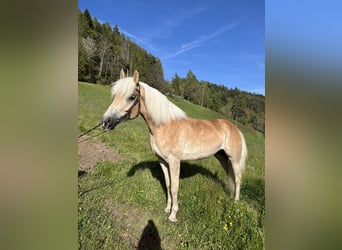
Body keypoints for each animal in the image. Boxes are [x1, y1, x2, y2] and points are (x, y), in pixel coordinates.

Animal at [100, 69, 247, 222]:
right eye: (115, 95)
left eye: (132, 97)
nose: (106, 122)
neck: (165, 126)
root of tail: (234, 128)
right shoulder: (163, 161)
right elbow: (168, 184)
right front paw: (167, 209)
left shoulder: (174, 161)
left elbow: (175, 187)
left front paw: (173, 215)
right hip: (222, 158)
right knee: (231, 176)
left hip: (234, 159)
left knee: (238, 179)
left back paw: (236, 202)